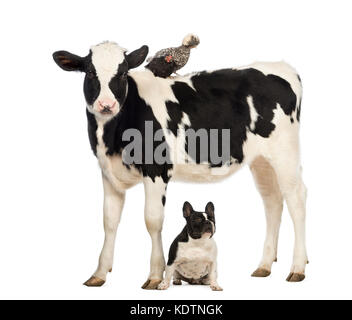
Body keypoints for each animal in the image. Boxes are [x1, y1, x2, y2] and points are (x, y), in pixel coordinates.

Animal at [53, 40, 308, 288]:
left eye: (123, 72)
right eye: (89, 72)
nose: (106, 105)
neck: (112, 138)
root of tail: (282, 67)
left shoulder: (156, 169)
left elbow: (153, 220)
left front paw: (154, 275)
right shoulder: (108, 172)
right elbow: (109, 222)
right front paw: (99, 273)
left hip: (286, 151)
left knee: (296, 200)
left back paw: (297, 267)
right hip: (261, 160)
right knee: (272, 202)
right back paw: (264, 265)